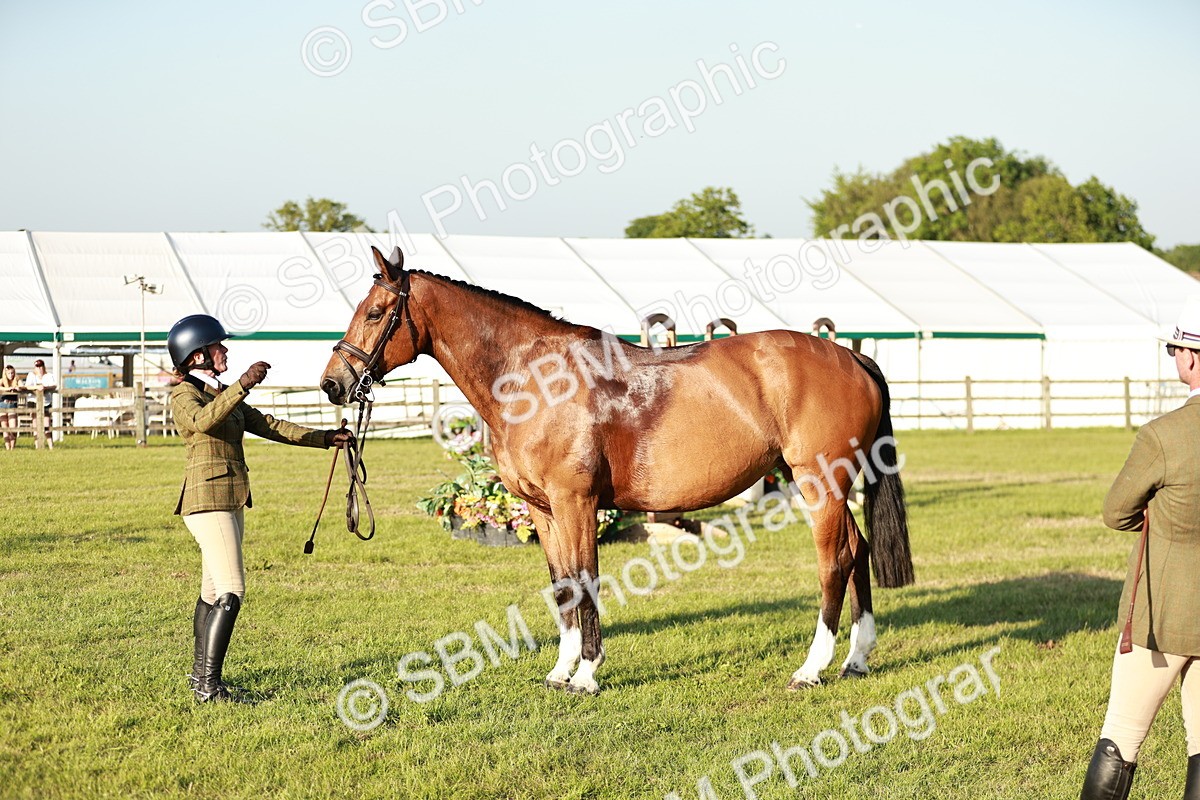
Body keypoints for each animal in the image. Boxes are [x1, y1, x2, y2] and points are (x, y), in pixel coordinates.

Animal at [321, 246, 913, 695]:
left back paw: (812, 668)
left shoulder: (576, 503)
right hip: (826, 485)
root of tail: (850, 356)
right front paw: (560, 671)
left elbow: (586, 581)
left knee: (834, 561)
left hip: (820, 484)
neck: (535, 378)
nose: (332, 383)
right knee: (857, 550)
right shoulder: (543, 511)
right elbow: (562, 585)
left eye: (375, 312)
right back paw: (856, 658)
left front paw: (586, 674)